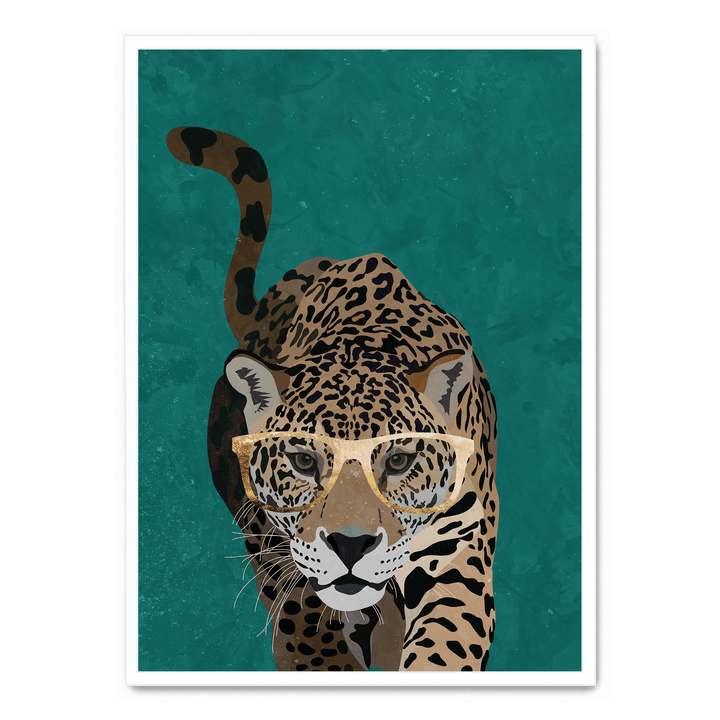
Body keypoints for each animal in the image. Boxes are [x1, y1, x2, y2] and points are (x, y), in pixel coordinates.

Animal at [166, 126, 499, 671]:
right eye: (303, 461)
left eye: (400, 460)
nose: (351, 544)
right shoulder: (283, 562)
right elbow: (311, 638)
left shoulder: (458, 557)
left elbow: (444, 647)